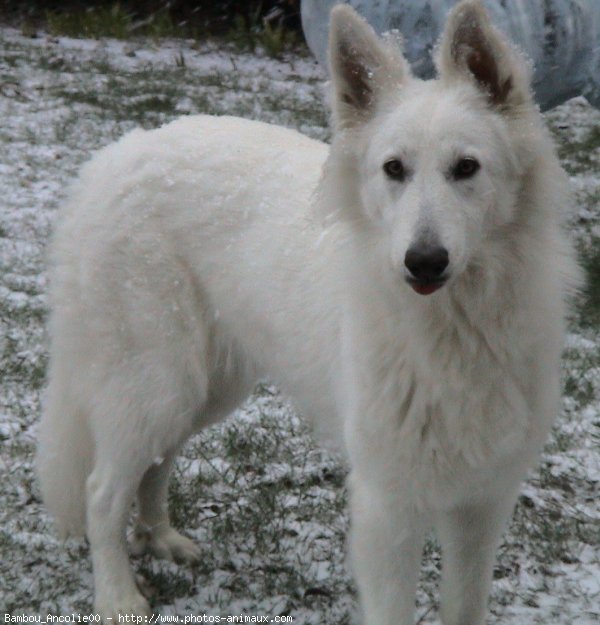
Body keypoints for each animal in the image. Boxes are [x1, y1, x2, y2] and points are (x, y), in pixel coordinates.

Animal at [37, 2, 580, 620]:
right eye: (394, 169)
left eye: (467, 168)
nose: (423, 262)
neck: (457, 326)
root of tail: (114, 156)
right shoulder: (387, 507)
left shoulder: (482, 505)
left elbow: (464, 606)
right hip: (156, 384)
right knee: (101, 492)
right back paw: (118, 594)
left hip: (204, 391)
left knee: (156, 463)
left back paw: (158, 537)